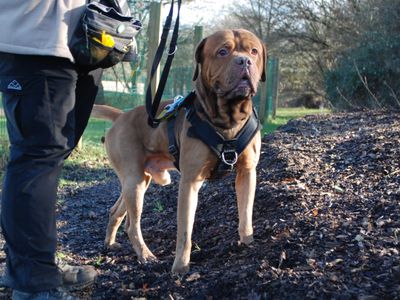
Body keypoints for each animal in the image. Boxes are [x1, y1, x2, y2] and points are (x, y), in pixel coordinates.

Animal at [92, 28, 268, 274]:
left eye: (253, 51)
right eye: (223, 51)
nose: (244, 61)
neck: (228, 119)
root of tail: (121, 115)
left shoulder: (247, 173)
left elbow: (245, 216)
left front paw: (248, 245)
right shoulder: (190, 182)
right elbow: (185, 232)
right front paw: (180, 269)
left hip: (138, 181)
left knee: (115, 211)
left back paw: (110, 243)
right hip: (134, 181)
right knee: (132, 225)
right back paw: (145, 255)